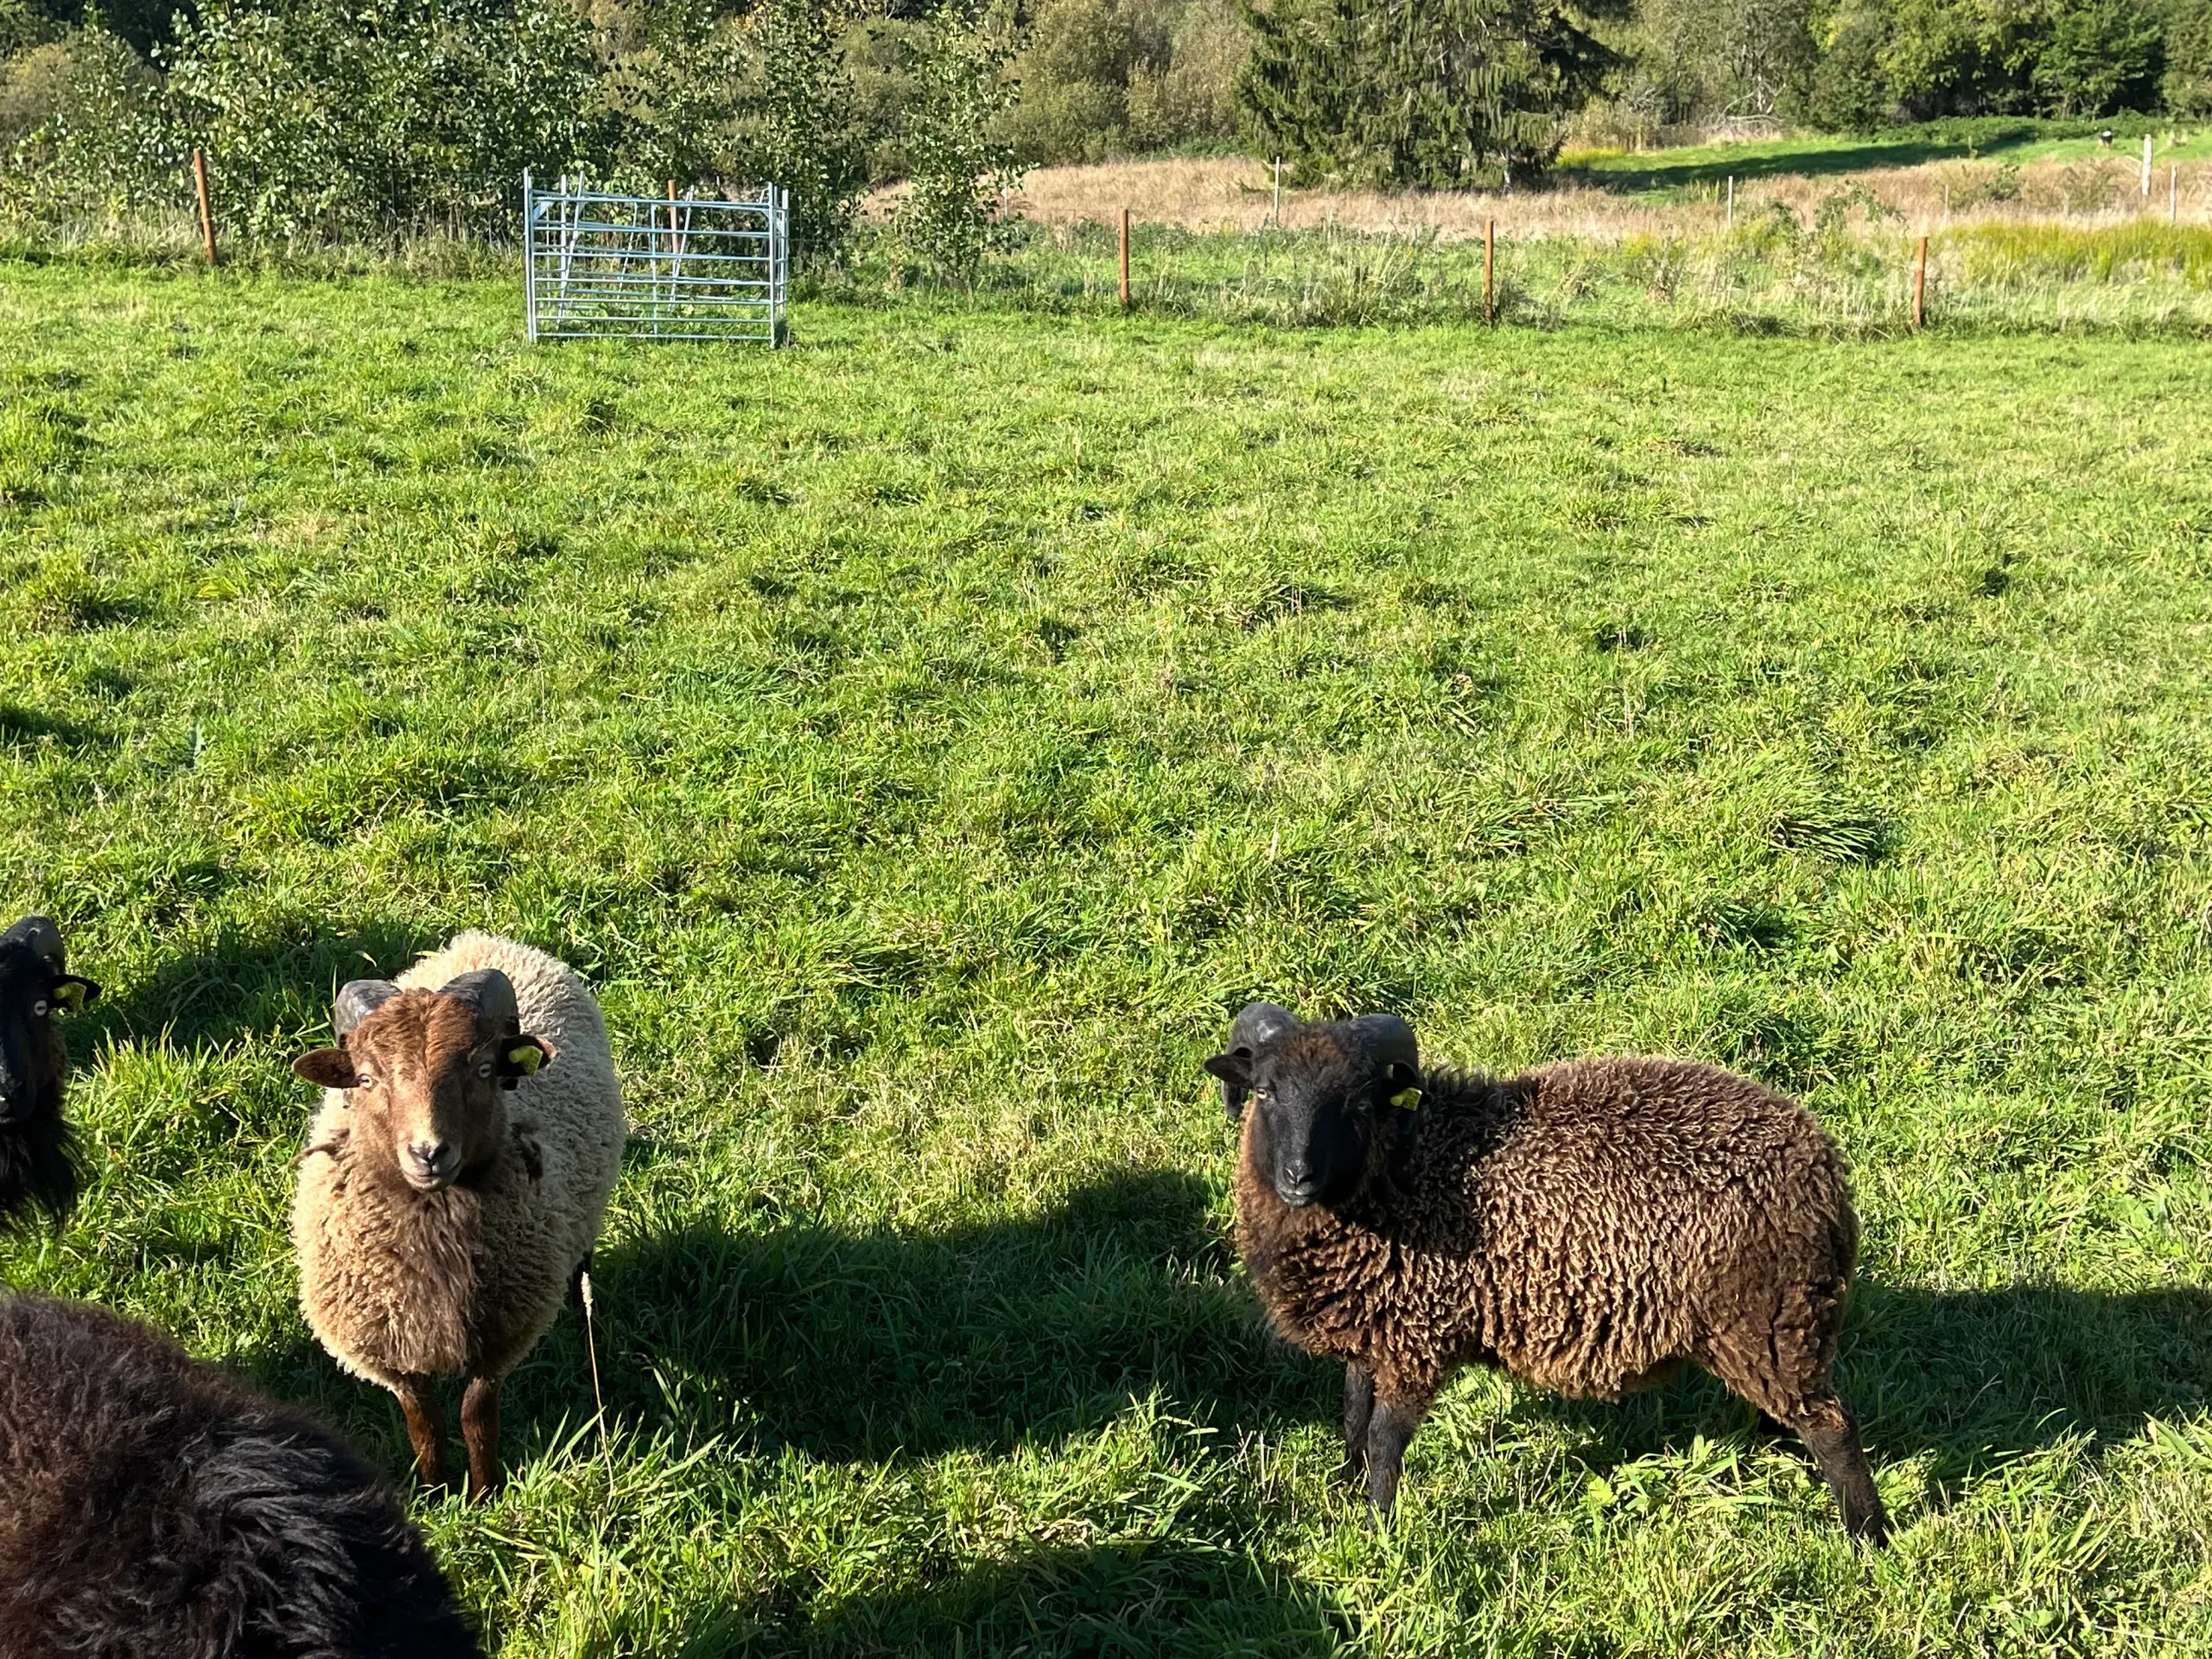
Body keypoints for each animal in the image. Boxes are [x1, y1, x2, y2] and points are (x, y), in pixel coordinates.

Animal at [289, 938, 628, 1503]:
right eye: (366, 1078)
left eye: (484, 1070)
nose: (428, 1152)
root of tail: (483, 939)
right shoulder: (389, 1351)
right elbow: (423, 1421)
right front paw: (432, 1491)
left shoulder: (503, 1333)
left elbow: (476, 1416)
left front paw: (483, 1495)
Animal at [1203, 1013, 1893, 1548]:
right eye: (1264, 1092)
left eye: (1359, 1103)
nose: (1298, 1177)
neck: (1401, 1173)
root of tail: (1825, 1168)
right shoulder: (1375, 1329)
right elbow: (1351, 1417)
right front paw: (1344, 1494)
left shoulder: (1420, 1335)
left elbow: (1385, 1439)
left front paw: (1378, 1530)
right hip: (1775, 1330)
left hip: (1771, 1322)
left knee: (1835, 1429)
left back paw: (1868, 1537)